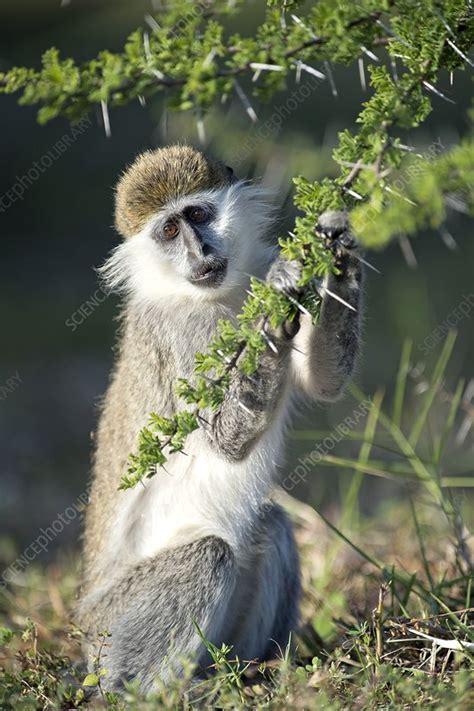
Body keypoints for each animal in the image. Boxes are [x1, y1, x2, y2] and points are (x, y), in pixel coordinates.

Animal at [78, 142, 362, 692]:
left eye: (198, 215)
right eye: (169, 231)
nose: (200, 253)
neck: (218, 294)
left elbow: (324, 382)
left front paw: (337, 248)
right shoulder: (182, 332)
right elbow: (224, 437)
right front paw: (277, 299)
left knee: (271, 525)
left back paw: (256, 669)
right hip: (109, 632)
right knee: (207, 552)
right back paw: (159, 693)